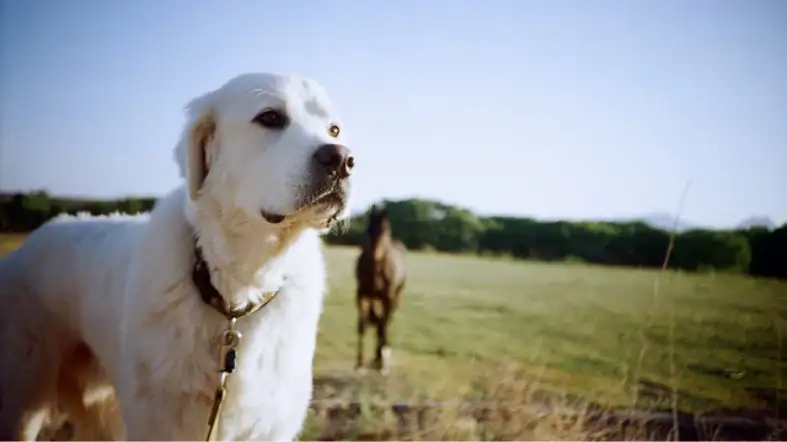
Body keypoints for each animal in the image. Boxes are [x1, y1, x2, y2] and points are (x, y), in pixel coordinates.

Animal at [0, 72, 354, 438]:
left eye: (334, 130)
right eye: (270, 117)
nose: (342, 160)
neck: (234, 297)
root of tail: (38, 236)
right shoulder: (161, 422)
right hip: (22, 400)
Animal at [356, 205, 406, 372]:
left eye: (385, 230)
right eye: (367, 230)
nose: (374, 258)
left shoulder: (388, 298)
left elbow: (383, 326)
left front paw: (382, 365)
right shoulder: (362, 295)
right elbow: (363, 326)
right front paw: (359, 363)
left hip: (395, 297)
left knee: (386, 322)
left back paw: (381, 357)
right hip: (375, 299)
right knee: (378, 321)